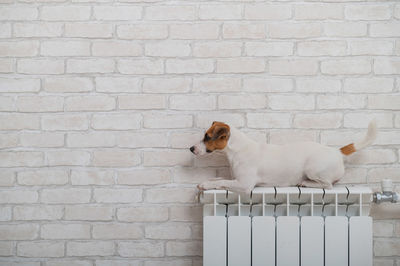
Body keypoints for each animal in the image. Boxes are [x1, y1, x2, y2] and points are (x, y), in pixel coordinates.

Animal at [189, 120, 376, 193]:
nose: (191, 148)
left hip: (313, 169)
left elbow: (220, 182)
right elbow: (218, 179)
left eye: (207, 137)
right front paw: (207, 181)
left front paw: (205, 185)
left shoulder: (244, 185)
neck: (237, 149)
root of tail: (337, 151)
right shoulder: (235, 179)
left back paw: (306, 183)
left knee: (328, 185)